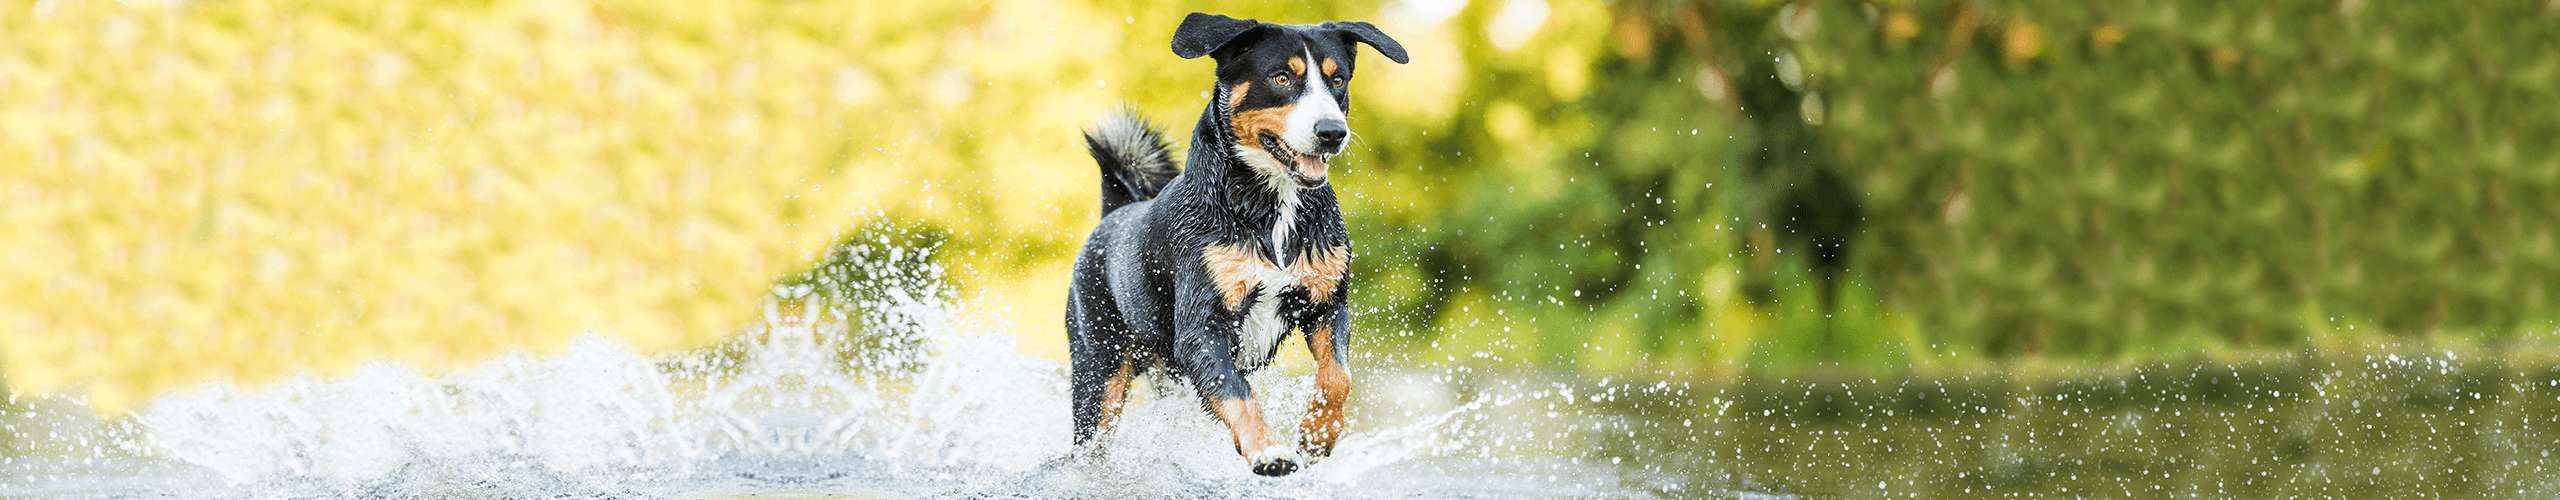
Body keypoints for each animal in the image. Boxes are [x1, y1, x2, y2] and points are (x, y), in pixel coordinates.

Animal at [1070, 9, 1413, 474]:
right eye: (1282, 77)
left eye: (1338, 79)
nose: (1332, 132)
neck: (1273, 210)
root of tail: (1113, 213)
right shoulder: (1203, 326)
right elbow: (1236, 391)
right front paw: (1268, 449)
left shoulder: (1327, 304)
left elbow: (1338, 375)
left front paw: (1318, 433)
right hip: (1097, 372)